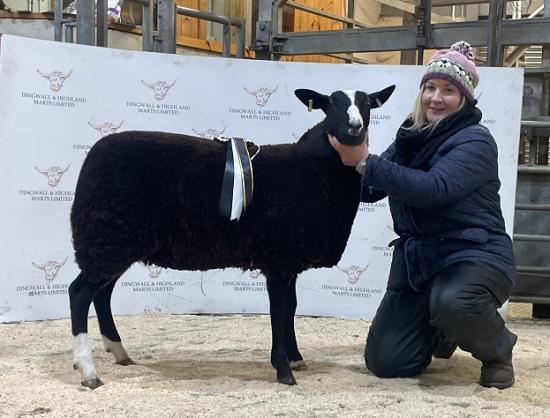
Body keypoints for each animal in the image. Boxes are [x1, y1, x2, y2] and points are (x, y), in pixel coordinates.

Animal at [69, 85, 396, 388]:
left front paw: (295, 358)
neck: (313, 171)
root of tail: (93, 155)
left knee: (102, 294)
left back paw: (119, 352)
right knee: (80, 294)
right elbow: (279, 311)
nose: (354, 126)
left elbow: (291, 308)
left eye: (368, 104)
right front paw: (284, 371)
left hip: (115, 245)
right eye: (331, 104)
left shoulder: (288, 261)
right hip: (105, 239)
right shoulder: (278, 260)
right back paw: (88, 371)